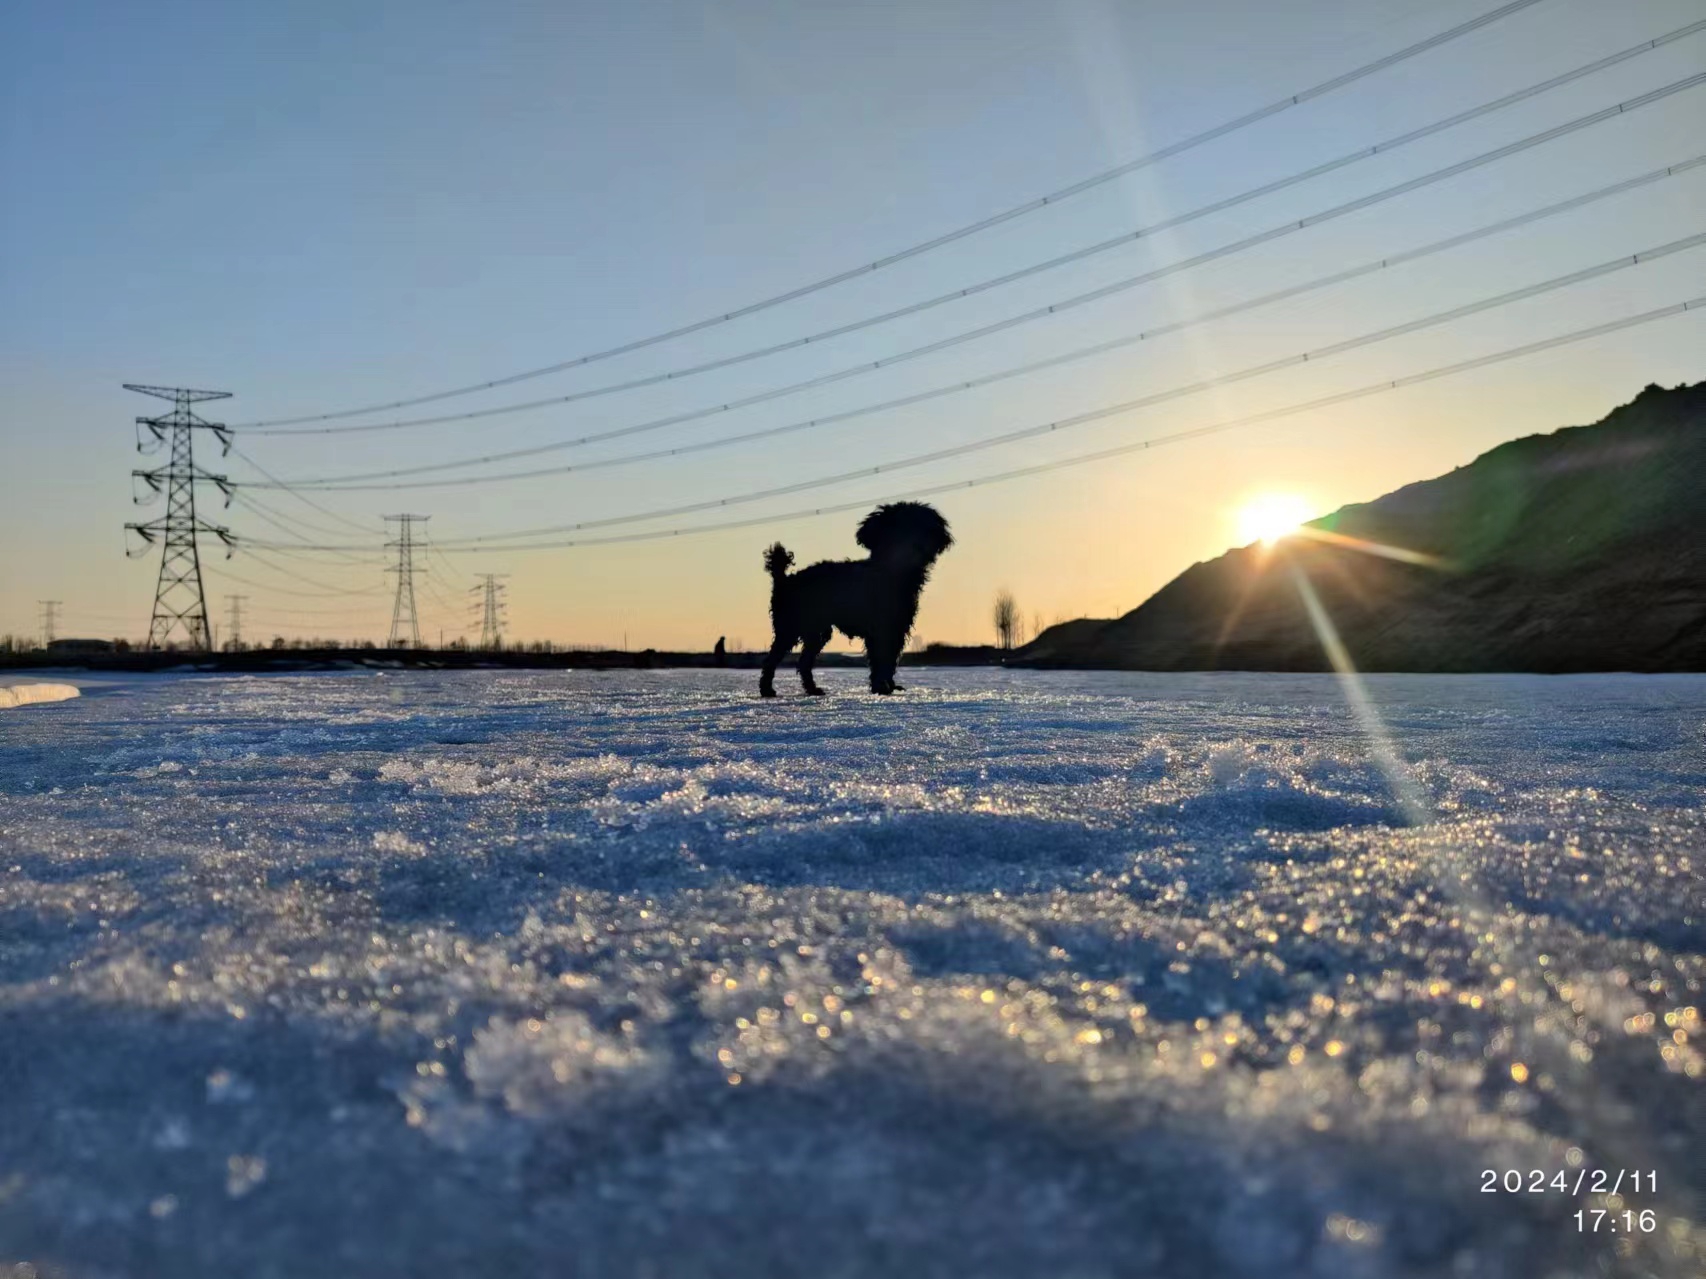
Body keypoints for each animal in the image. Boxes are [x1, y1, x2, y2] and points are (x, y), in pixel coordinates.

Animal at [757, 504, 948, 702]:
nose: (919, 545)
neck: (891, 570)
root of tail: (784, 580)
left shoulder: (897, 628)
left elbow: (890, 659)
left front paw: (890, 686)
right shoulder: (880, 629)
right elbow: (880, 659)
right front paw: (881, 686)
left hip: (817, 631)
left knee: (804, 661)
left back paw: (812, 689)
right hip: (790, 626)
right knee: (771, 659)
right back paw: (767, 690)